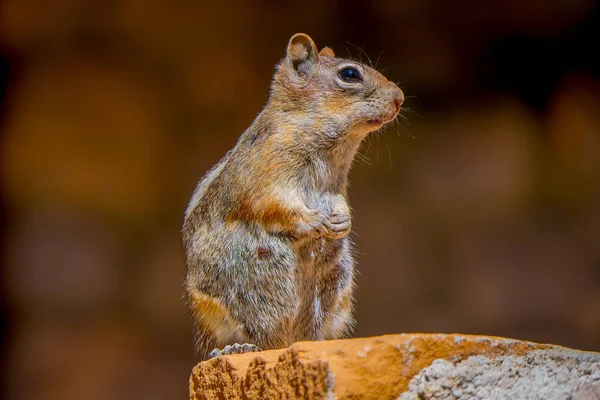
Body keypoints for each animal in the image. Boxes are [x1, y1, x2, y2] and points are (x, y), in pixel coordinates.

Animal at [182, 32, 404, 358]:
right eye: (350, 74)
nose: (400, 97)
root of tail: (284, 341)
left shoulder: (335, 188)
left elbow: (341, 204)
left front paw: (343, 221)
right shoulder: (267, 178)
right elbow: (276, 207)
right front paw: (316, 221)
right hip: (214, 309)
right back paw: (234, 348)